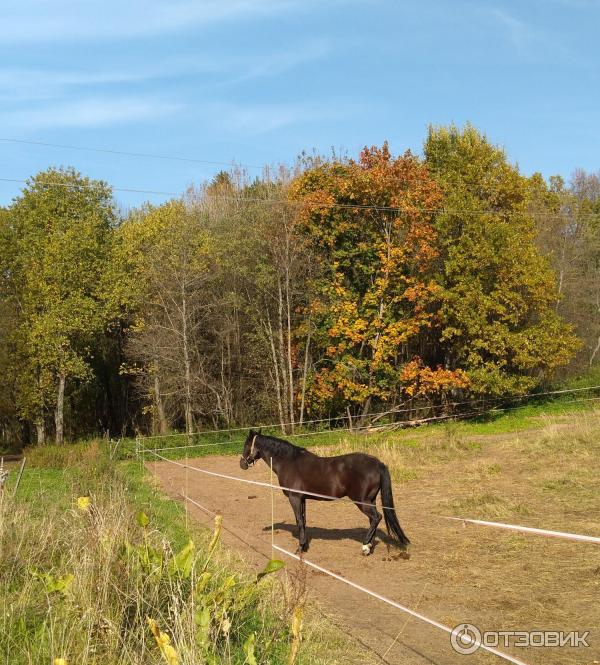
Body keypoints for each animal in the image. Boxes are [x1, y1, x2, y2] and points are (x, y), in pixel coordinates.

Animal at [238, 428, 408, 552]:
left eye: (246, 445)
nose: (242, 464)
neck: (289, 462)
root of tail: (378, 463)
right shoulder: (302, 498)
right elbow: (303, 520)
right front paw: (305, 545)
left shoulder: (294, 498)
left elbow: (299, 521)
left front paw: (300, 548)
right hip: (370, 500)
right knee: (373, 519)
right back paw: (370, 545)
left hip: (362, 501)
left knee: (376, 517)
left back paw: (365, 546)